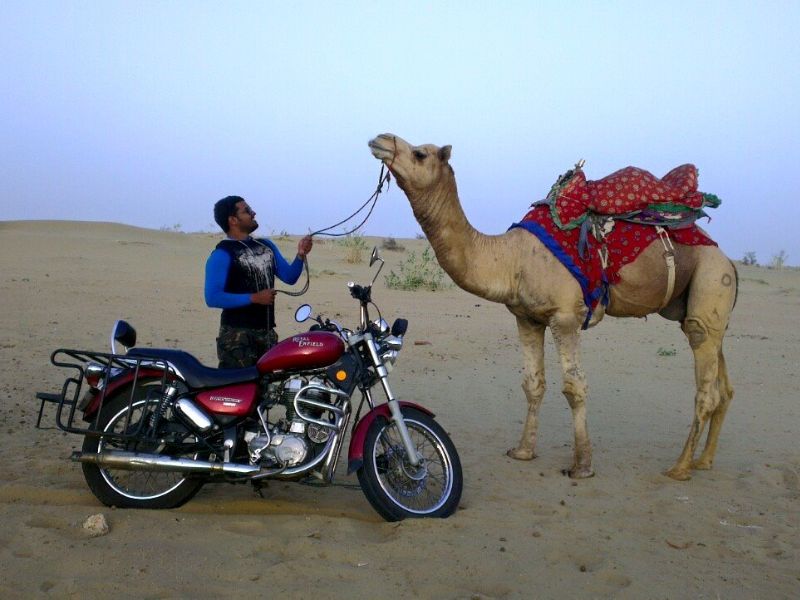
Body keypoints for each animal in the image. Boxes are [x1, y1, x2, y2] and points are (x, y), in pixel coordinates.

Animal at [368, 133, 737, 480]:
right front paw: (523, 451)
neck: (510, 259)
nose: (381, 139)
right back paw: (704, 461)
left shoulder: (566, 317)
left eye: (420, 153)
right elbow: (533, 384)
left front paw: (583, 466)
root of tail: (729, 262)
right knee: (723, 385)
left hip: (710, 280)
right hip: (699, 309)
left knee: (705, 385)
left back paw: (680, 467)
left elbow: (575, 387)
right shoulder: (527, 318)